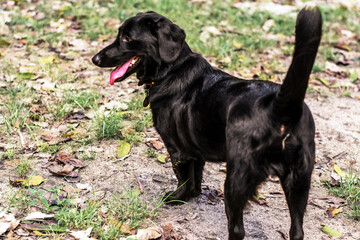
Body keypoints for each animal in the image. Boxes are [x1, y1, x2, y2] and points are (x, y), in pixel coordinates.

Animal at [92, 6, 320, 239]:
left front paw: (177, 197)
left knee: (237, 229)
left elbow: (184, 178)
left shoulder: (177, 151)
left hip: (236, 180)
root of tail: (280, 106)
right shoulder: (195, 151)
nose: (95, 58)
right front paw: (193, 195)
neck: (171, 70)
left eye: (127, 38)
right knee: (297, 230)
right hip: (299, 182)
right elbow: (196, 176)